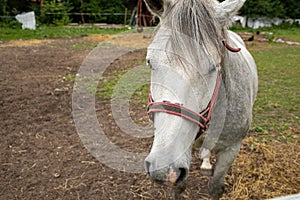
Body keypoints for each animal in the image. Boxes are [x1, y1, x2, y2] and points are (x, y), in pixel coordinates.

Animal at [143, 0, 258, 199]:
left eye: (214, 67)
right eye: (150, 62)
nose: (164, 169)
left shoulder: (231, 150)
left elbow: (215, 186)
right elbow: (179, 187)